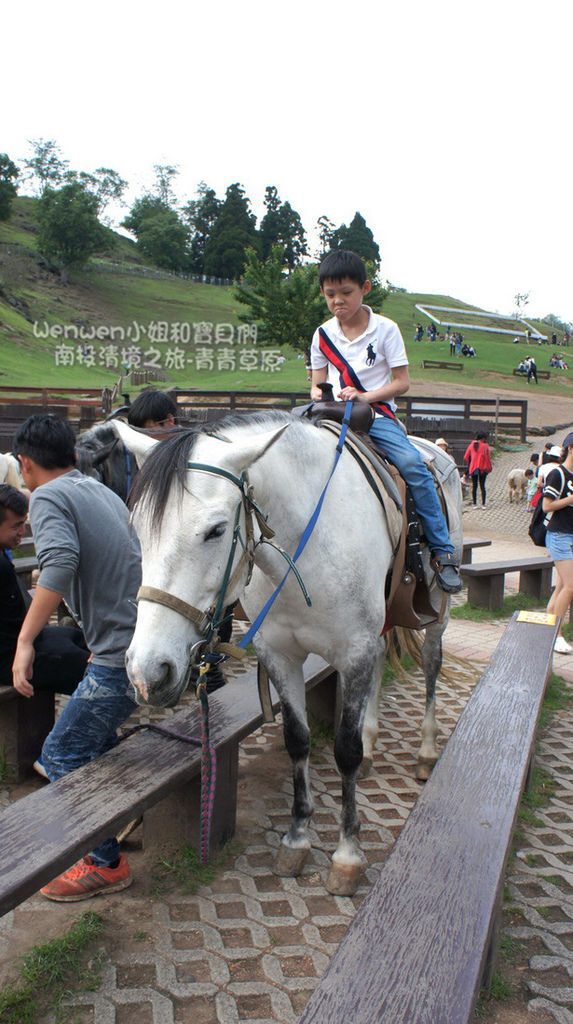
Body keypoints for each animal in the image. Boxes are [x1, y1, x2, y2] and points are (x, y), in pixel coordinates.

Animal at [119, 411, 460, 892]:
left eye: (216, 530)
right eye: (138, 528)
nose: (148, 671)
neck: (308, 547)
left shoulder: (354, 650)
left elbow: (344, 751)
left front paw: (347, 855)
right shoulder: (280, 655)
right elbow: (297, 740)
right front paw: (297, 839)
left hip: (438, 614)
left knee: (431, 666)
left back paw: (427, 753)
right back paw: (373, 742)